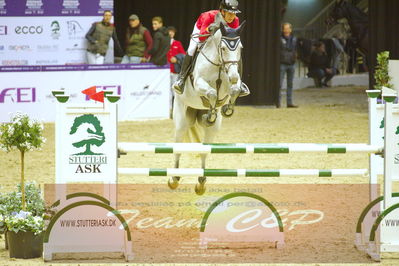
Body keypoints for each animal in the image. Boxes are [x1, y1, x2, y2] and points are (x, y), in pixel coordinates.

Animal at [170, 21, 247, 194]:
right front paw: (211, 113)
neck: (218, 64)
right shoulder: (199, 83)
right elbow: (211, 93)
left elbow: (234, 90)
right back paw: (174, 179)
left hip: (212, 130)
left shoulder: (230, 86)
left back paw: (201, 182)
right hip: (181, 119)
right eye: (223, 48)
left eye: (240, 48)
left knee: (205, 150)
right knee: (178, 145)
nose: (233, 76)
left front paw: (226, 110)